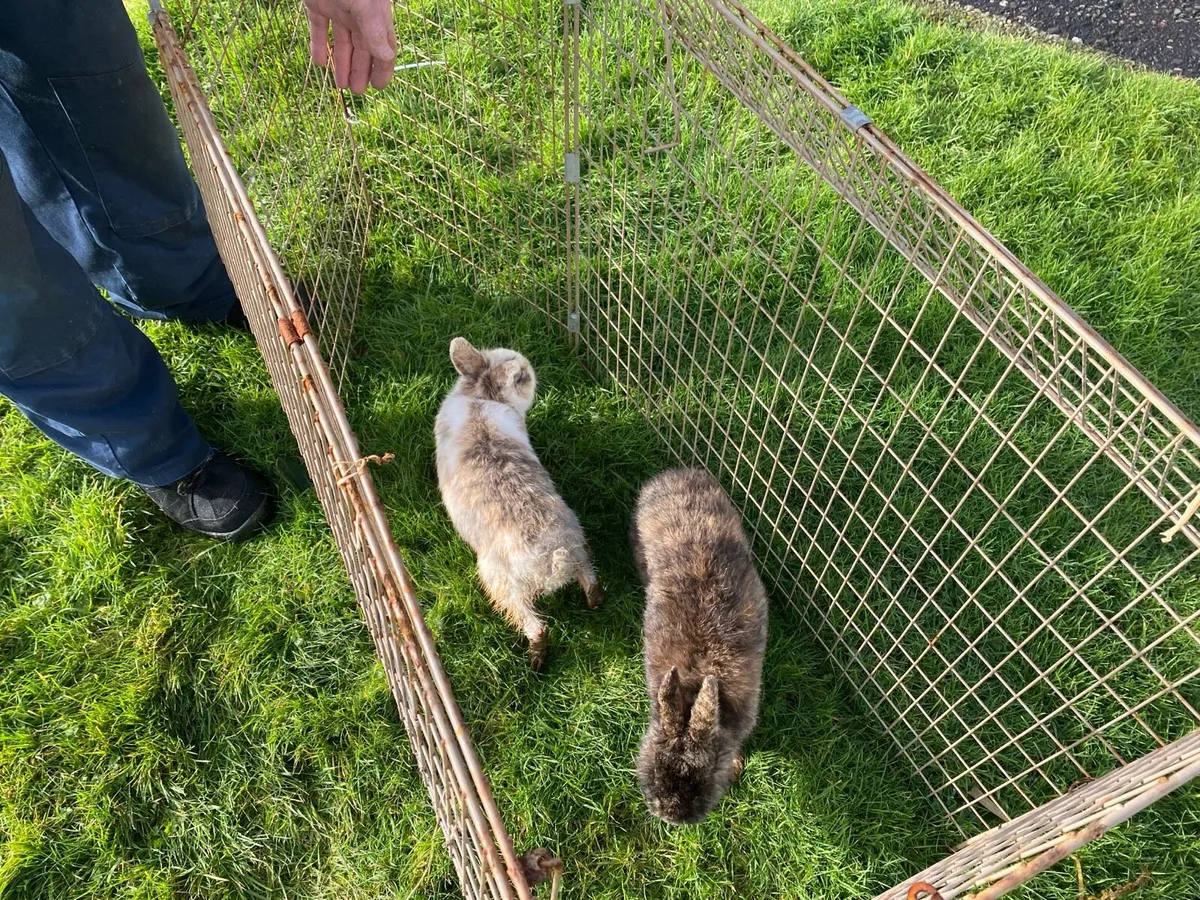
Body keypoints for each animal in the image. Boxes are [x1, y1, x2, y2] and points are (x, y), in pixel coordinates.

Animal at [435, 337, 604, 669]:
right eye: (523, 376)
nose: (528, 367)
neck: (481, 399)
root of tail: (553, 558)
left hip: (500, 581)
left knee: (535, 626)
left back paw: (536, 661)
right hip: (577, 543)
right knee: (589, 577)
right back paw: (595, 603)